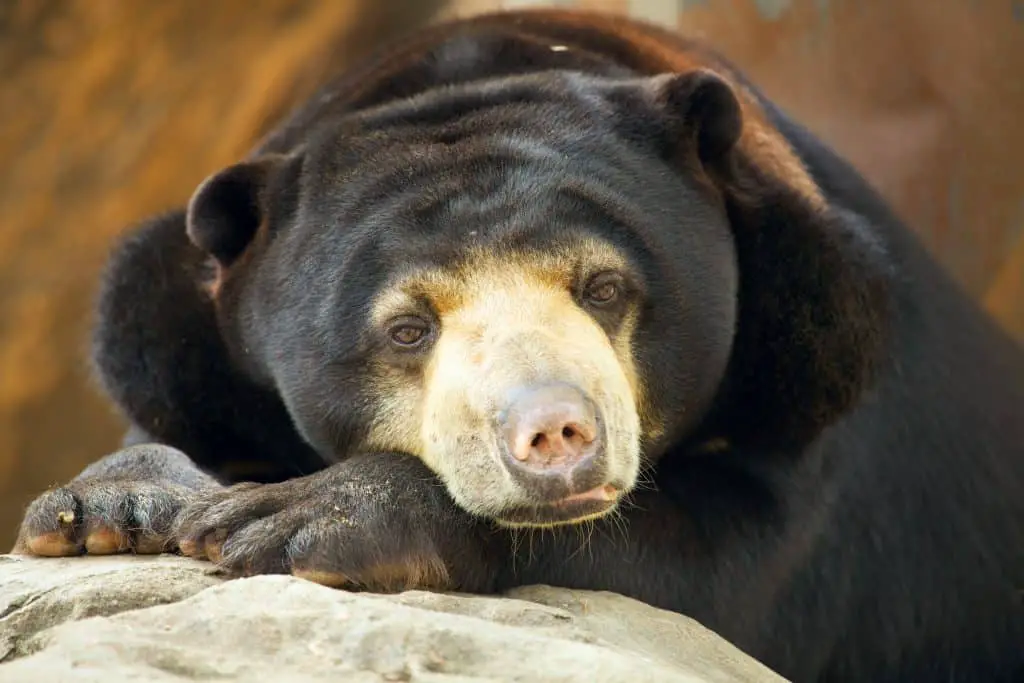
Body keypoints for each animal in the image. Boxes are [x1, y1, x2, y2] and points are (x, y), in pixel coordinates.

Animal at [9, 6, 1024, 683]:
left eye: (605, 288)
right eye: (408, 327)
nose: (554, 434)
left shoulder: (817, 352)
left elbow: (715, 561)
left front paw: (299, 517)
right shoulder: (172, 335)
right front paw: (109, 507)